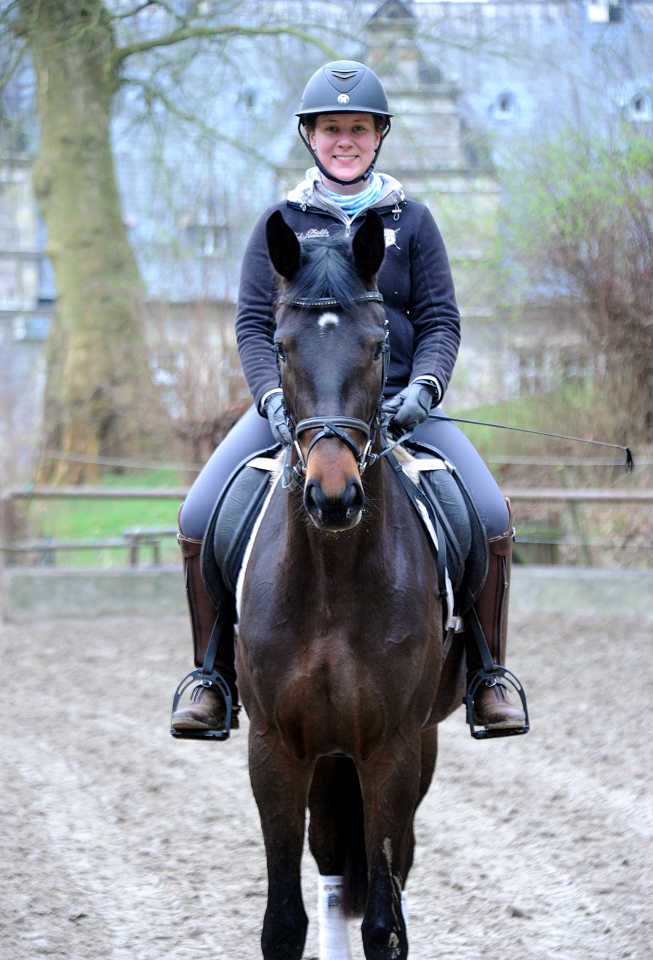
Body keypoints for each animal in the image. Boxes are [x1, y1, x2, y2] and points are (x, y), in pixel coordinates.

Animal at [234, 210, 464, 960]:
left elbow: (385, 924)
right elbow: (284, 921)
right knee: (334, 859)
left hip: (410, 744)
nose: (332, 498)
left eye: (376, 346)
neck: (332, 581)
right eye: (281, 347)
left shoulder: (391, 747)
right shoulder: (275, 748)